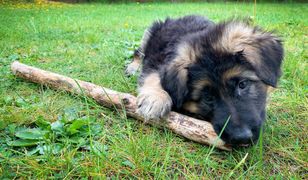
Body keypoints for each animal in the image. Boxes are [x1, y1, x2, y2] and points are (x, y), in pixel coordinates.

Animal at [125, 14, 284, 146]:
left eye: (242, 84)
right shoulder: (156, 60)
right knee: (138, 53)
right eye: (207, 97)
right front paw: (155, 98)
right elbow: (153, 74)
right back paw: (132, 68)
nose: (242, 138)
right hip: (149, 33)